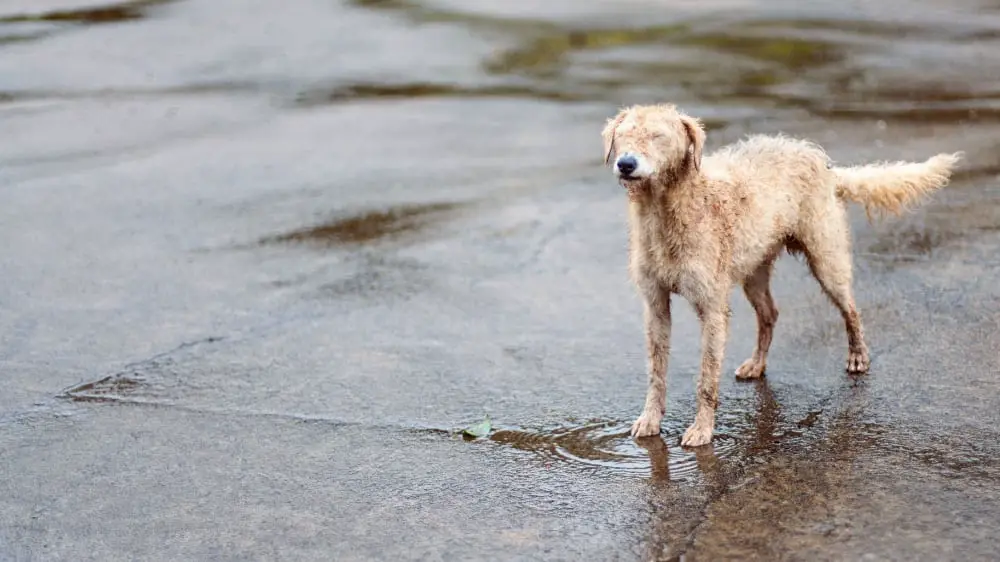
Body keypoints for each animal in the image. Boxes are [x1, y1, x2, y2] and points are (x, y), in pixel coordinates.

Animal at [600, 103, 960, 446]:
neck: (667, 209)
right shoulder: (655, 306)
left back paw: (858, 356)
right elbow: (656, 371)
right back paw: (757, 364)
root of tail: (821, 161)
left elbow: (707, 377)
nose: (626, 164)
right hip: (754, 272)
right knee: (769, 314)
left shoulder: (713, 310)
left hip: (827, 260)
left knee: (851, 309)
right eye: (624, 134)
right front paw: (650, 420)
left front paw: (702, 429)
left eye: (658, 136)